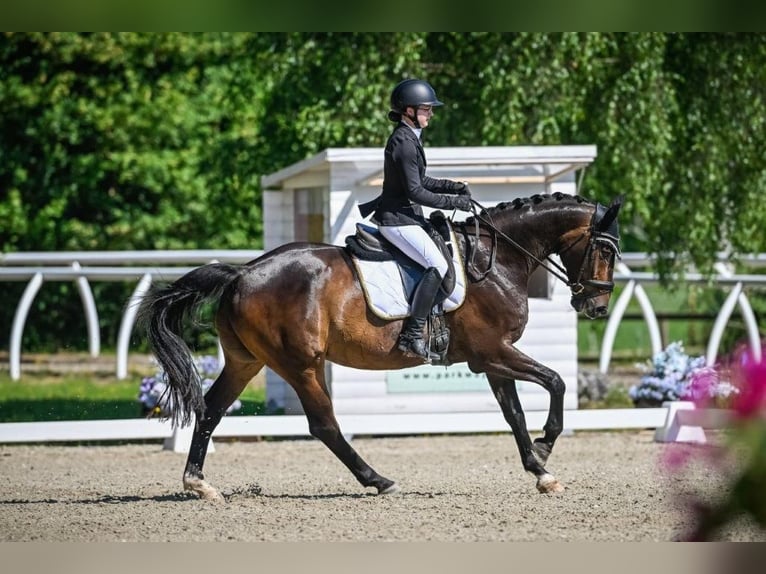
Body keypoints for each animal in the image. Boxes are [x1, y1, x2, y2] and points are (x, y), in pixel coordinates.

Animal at [140, 192, 624, 500]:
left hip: (246, 361)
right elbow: (556, 381)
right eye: (605, 250)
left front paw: (541, 472)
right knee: (324, 425)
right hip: (301, 365)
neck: (498, 260)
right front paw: (546, 446)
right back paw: (378, 480)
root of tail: (241, 273)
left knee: (210, 409)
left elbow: (515, 415)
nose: (596, 307)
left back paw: (198, 484)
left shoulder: (491, 360)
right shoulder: (494, 352)